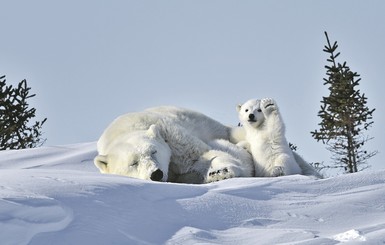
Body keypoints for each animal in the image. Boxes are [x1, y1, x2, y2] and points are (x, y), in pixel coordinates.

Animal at [94, 106, 254, 183]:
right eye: (133, 163)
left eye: (154, 151)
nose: (156, 174)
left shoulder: (171, 136)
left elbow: (201, 155)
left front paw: (221, 172)